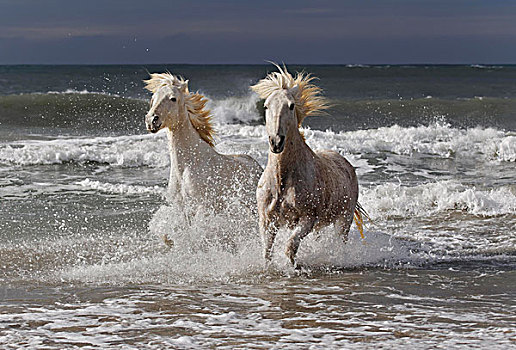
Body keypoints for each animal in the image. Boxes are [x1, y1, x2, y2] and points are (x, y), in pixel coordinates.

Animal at [145, 73, 264, 242]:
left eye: (173, 98)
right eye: (153, 98)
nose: (151, 120)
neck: (188, 164)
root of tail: (256, 165)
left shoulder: (202, 206)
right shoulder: (182, 209)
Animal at [251, 65, 366, 268]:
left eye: (291, 105)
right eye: (266, 106)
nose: (276, 142)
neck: (282, 179)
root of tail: (346, 164)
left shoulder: (307, 219)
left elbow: (290, 246)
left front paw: (292, 267)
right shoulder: (267, 221)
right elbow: (267, 251)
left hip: (344, 219)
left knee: (340, 241)